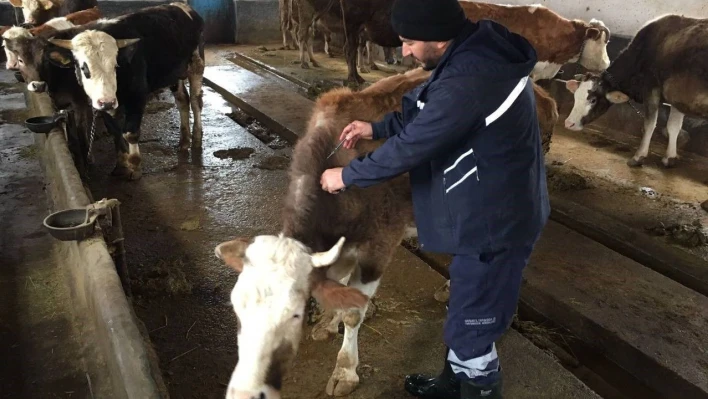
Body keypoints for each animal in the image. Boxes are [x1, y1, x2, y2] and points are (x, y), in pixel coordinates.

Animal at [564, 14, 708, 169]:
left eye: (593, 99)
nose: (569, 123)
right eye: (576, 96)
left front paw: (638, 157)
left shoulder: (651, 88)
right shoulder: (676, 99)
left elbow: (649, 124)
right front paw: (669, 158)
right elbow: (673, 127)